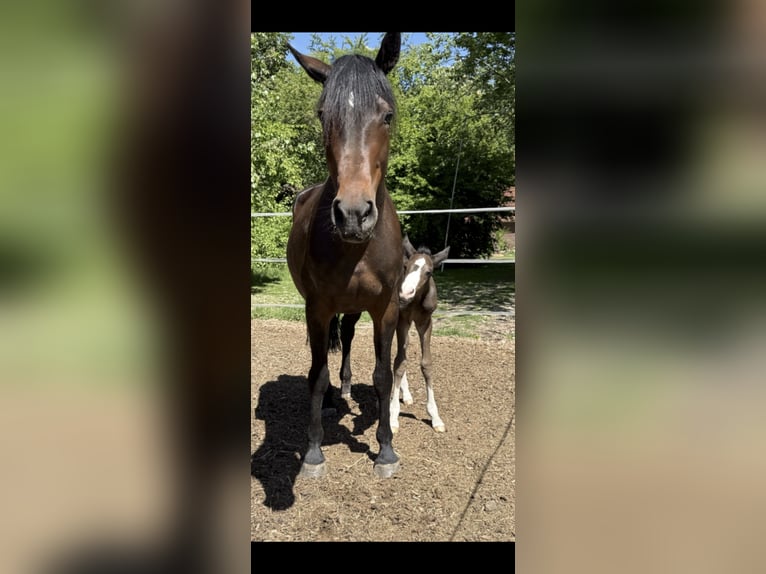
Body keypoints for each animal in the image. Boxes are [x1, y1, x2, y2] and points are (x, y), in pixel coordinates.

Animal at [285, 33, 403, 479]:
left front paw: (385, 451)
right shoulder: (317, 308)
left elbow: (384, 377)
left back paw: (348, 388)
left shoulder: (386, 308)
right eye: (323, 115)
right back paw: (336, 398)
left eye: (387, 116)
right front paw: (313, 453)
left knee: (350, 338)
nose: (353, 214)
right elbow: (317, 377)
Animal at [391, 235, 450, 433]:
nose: (405, 293)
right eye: (406, 267)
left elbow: (426, 364)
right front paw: (392, 416)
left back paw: (407, 394)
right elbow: (400, 363)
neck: (415, 301)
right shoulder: (402, 320)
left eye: (429, 272)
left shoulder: (426, 323)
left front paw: (435, 417)